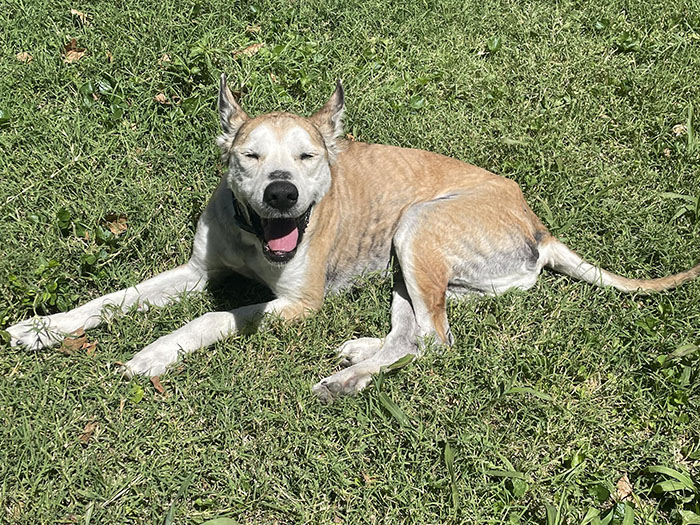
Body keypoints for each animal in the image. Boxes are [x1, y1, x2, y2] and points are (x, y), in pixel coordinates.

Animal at [6, 74, 700, 402]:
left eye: (307, 157)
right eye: (250, 156)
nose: (281, 193)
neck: (257, 239)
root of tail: (537, 223)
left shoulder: (296, 304)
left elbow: (215, 318)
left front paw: (155, 354)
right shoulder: (198, 271)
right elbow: (113, 299)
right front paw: (42, 328)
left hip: (417, 224)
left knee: (438, 341)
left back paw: (345, 382)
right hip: (406, 261)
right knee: (415, 331)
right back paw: (358, 358)